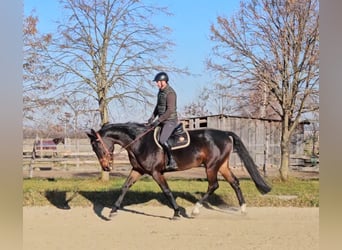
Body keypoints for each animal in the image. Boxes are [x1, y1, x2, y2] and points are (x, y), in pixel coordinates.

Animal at [87, 122, 272, 219]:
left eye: (97, 146)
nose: (106, 167)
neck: (140, 142)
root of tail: (225, 134)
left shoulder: (156, 172)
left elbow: (167, 191)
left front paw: (176, 212)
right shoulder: (138, 170)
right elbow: (125, 187)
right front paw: (113, 210)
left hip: (212, 166)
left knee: (213, 186)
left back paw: (195, 210)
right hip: (222, 165)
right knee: (234, 182)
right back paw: (243, 209)